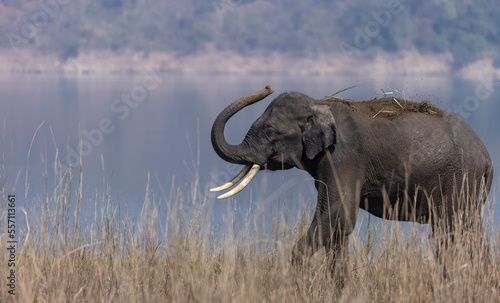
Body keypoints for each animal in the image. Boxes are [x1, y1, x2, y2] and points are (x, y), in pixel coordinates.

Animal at [209, 85, 494, 274]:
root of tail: (485, 154)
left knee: (458, 230)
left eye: (270, 131)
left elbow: (338, 217)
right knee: (453, 234)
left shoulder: (342, 157)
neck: (320, 103)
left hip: (460, 178)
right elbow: (337, 226)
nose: (267, 87)